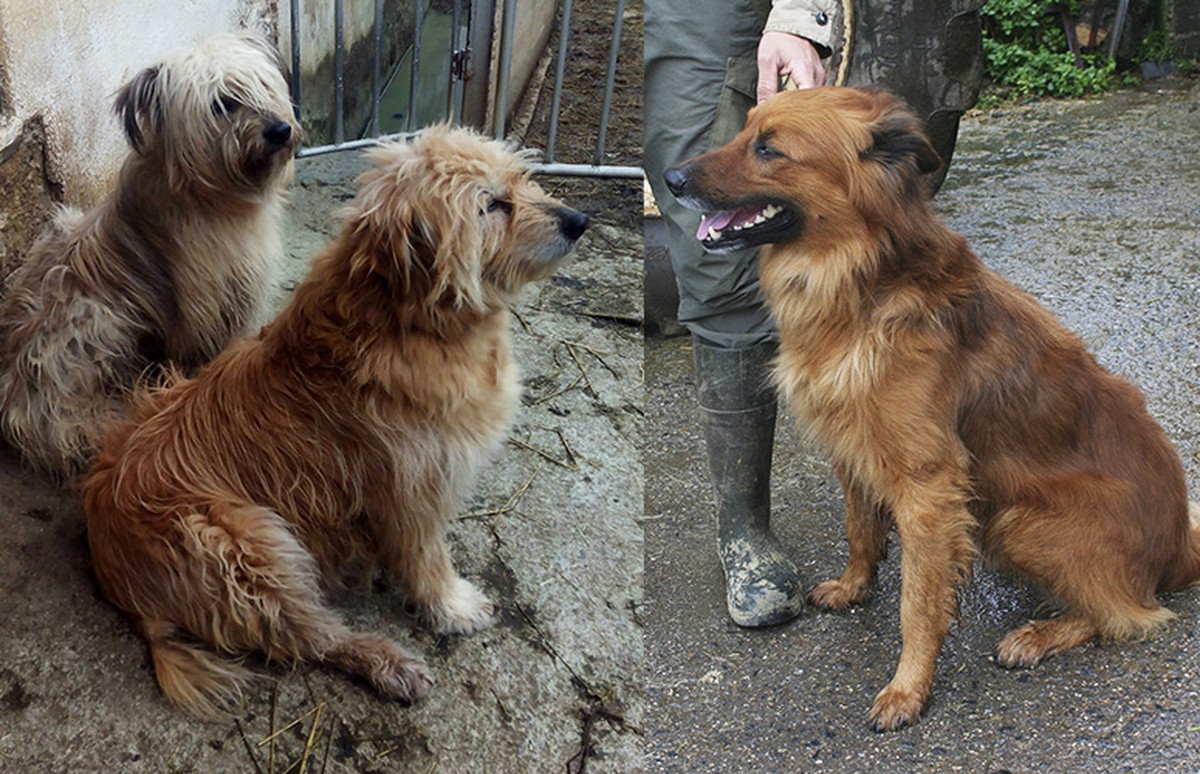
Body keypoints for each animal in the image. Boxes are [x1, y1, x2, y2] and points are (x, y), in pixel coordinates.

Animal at [0, 34, 298, 477]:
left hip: (64, 224)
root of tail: (16, 401)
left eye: (263, 85)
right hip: (95, 315)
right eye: (222, 104)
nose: (280, 130)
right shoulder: (209, 301)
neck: (207, 195)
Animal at [78, 125, 585, 710]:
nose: (578, 221)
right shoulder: (412, 492)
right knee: (309, 635)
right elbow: (427, 561)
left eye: (522, 178)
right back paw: (386, 662)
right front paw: (453, 606)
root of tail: (114, 573)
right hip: (244, 544)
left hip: (160, 398)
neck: (408, 320)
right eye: (492, 205)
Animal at [667, 85, 1200, 729]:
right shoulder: (854, 448)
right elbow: (860, 529)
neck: (860, 281)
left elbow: (917, 600)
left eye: (769, 149)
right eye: (744, 131)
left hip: (1018, 523)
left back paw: (1040, 634)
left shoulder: (929, 487)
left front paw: (908, 688)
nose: (668, 178)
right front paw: (853, 586)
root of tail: (1179, 548)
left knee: (1126, 613)